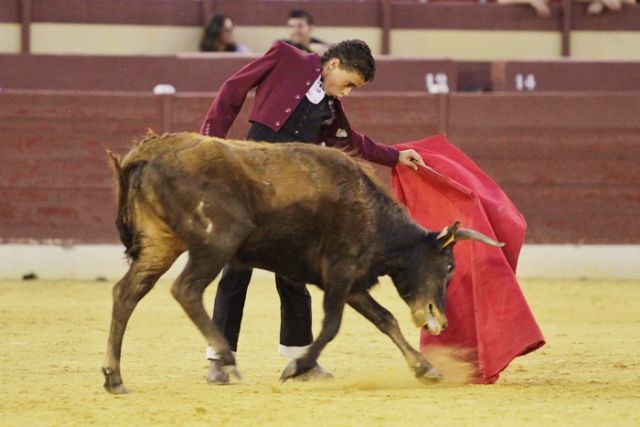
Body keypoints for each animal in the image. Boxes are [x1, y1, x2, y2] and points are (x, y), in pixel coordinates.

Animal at [101, 131, 500, 394]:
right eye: (449, 267)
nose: (441, 322)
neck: (371, 212)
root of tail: (150, 153)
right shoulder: (340, 271)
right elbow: (332, 325)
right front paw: (297, 366)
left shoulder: (353, 282)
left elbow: (385, 319)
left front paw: (425, 368)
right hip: (216, 243)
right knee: (185, 290)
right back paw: (226, 358)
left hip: (160, 244)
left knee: (126, 293)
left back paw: (114, 377)